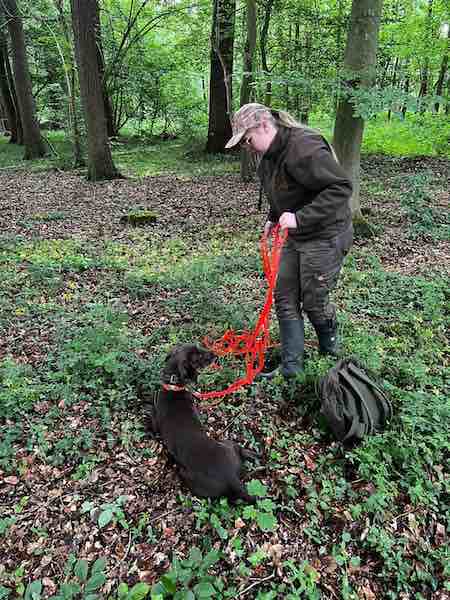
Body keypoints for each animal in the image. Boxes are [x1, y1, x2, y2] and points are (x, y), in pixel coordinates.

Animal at [149, 344, 256, 504]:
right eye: (197, 357)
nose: (215, 354)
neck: (174, 386)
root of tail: (232, 479)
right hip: (228, 444)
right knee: (240, 450)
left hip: (185, 473)